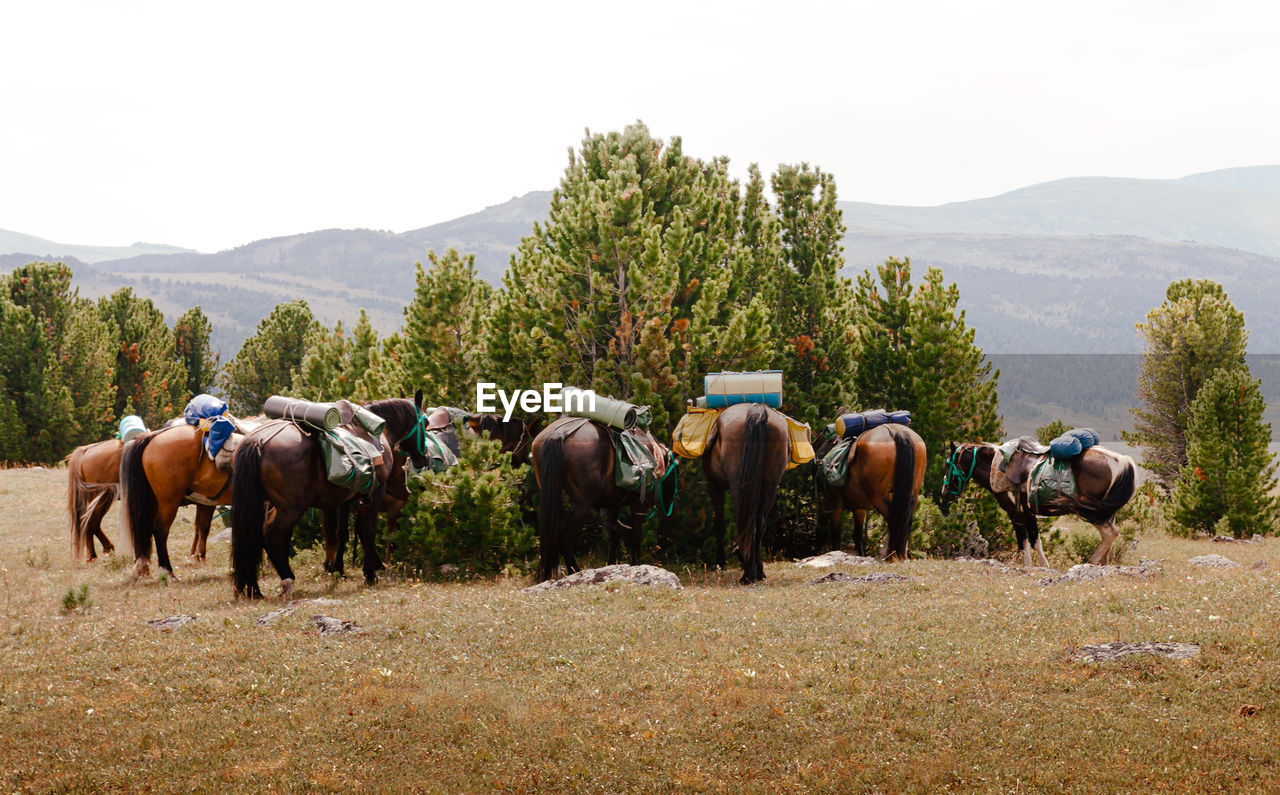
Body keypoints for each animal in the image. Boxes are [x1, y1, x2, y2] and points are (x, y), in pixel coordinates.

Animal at [118, 425, 232, 578]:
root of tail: (152, 437)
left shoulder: (206, 502)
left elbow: (202, 527)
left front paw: (199, 557)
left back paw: (143, 567)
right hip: (169, 503)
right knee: (159, 529)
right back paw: (167, 570)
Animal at [529, 417, 675, 578]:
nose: (669, 502)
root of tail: (558, 434)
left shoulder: (612, 504)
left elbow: (614, 535)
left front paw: (611, 566)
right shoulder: (639, 504)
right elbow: (636, 535)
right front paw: (636, 565)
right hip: (582, 504)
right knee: (564, 534)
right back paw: (575, 570)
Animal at [701, 401, 788, 583]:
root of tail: (756, 408)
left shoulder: (713, 486)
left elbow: (719, 522)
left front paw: (720, 562)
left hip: (738, 484)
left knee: (743, 519)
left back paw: (747, 573)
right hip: (770, 486)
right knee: (759, 523)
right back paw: (758, 571)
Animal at [814, 422, 926, 558]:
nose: (817, 459)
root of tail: (896, 431)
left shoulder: (833, 505)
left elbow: (835, 536)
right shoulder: (859, 509)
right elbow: (857, 535)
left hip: (877, 497)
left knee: (894, 520)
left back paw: (891, 555)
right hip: (912, 495)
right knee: (905, 521)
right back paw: (899, 555)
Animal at [936, 440, 1136, 563]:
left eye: (947, 464)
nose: (945, 494)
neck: (995, 466)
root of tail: (1120, 461)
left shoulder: (1015, 513)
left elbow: (1023, 541)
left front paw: (1029, 567)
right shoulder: (1028, 512)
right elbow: (1036, 542)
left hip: (1092, 512)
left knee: (1110, 534)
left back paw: (1092, 562)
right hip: (1106, 512)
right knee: (1108, 539)